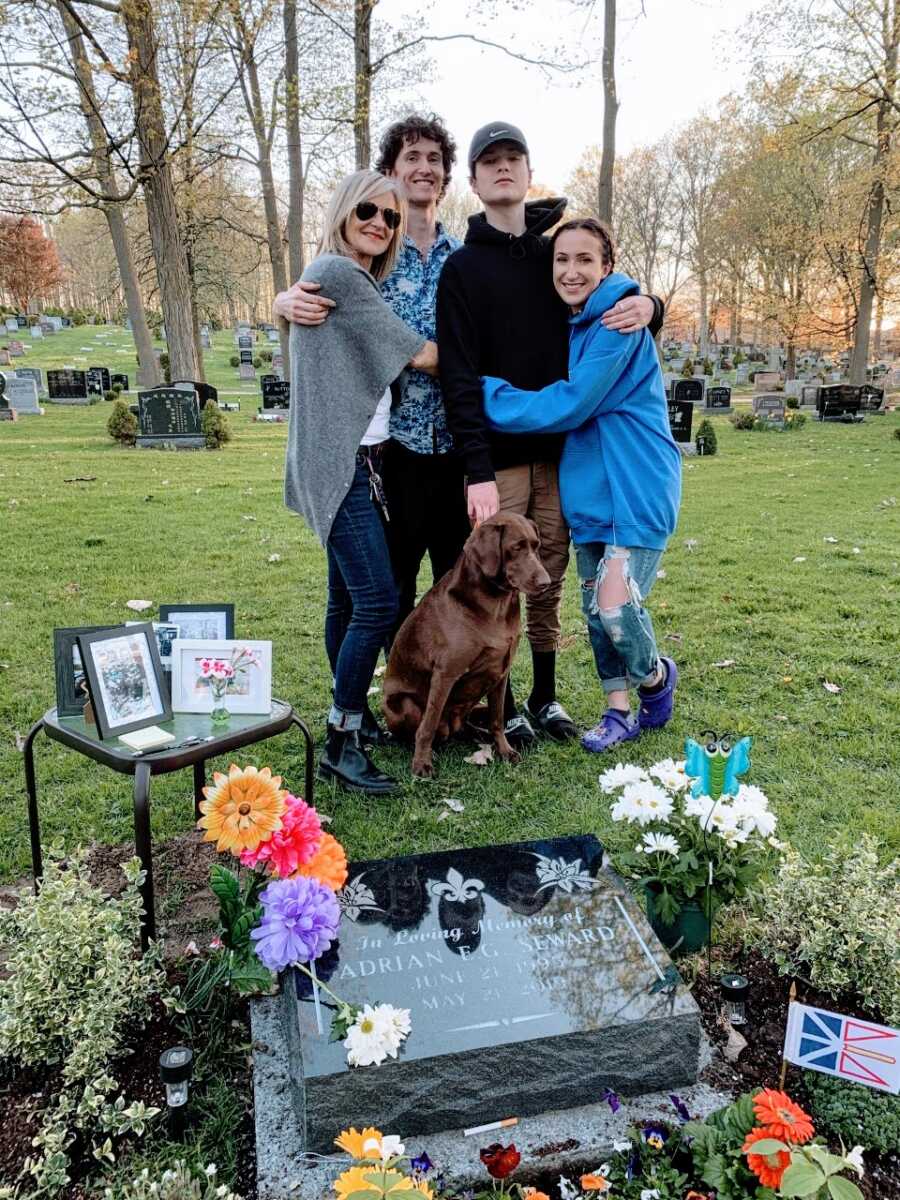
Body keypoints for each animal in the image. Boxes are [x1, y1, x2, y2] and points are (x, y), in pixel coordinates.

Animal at [381, 513, 549, 777]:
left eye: (536, 546)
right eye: (516, 547)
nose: (546, 582)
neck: (496, 604)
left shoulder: (501, 672)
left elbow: (497, 719)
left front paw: (504, 750)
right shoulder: (445, 674)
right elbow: (428, 725)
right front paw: (421, 763)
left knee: (468, 724)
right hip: (401, 704)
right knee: (424, 729)